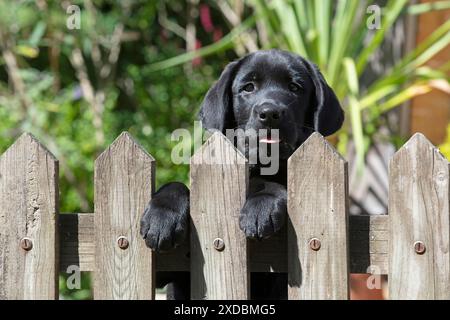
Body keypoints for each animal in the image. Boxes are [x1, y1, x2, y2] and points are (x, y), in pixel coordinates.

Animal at [141, 48, 344, 298]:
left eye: (295, 87)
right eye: (248, 87)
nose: (270, 113)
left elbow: (270, 184)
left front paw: (261, 207)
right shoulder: (167, 268)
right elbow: (176, 185)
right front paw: (161, 217)